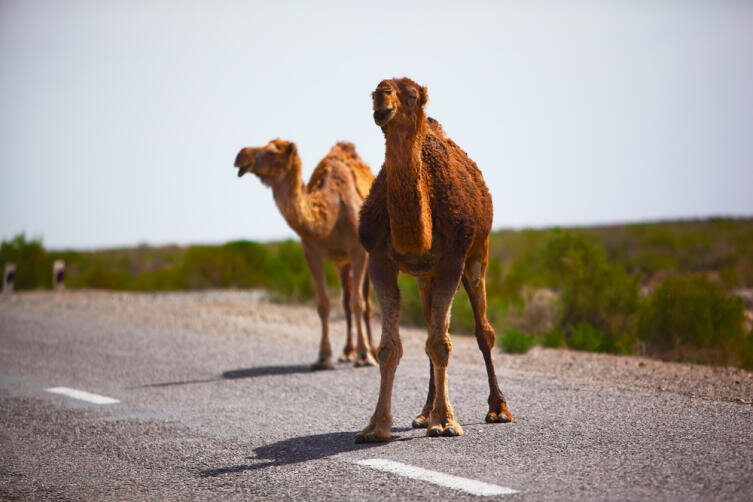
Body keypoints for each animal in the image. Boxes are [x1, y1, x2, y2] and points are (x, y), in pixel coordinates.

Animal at [235, 138, 376, 368]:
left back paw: (372, 350)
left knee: (366, 302)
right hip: (342, 262)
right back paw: (347, 352)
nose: (241, 155)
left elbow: (359, 303)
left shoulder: (358, 250)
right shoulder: (311, 250)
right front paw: (323, 357)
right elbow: (324, 304)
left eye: (272, 152)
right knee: (346, 301)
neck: (332, 212)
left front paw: (365, 355)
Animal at [356, 76, 516, 442]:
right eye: (374, 91)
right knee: (431, 324)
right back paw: (423, 412)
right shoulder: (379, 259)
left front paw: (444, 423)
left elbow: (442, 343)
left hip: (478, 253)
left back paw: (498, 409)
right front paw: (375, 426)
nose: (382, 94)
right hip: (424, 276)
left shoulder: (453, 259)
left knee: (483, 331)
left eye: (412, 94)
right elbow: (389, 348)